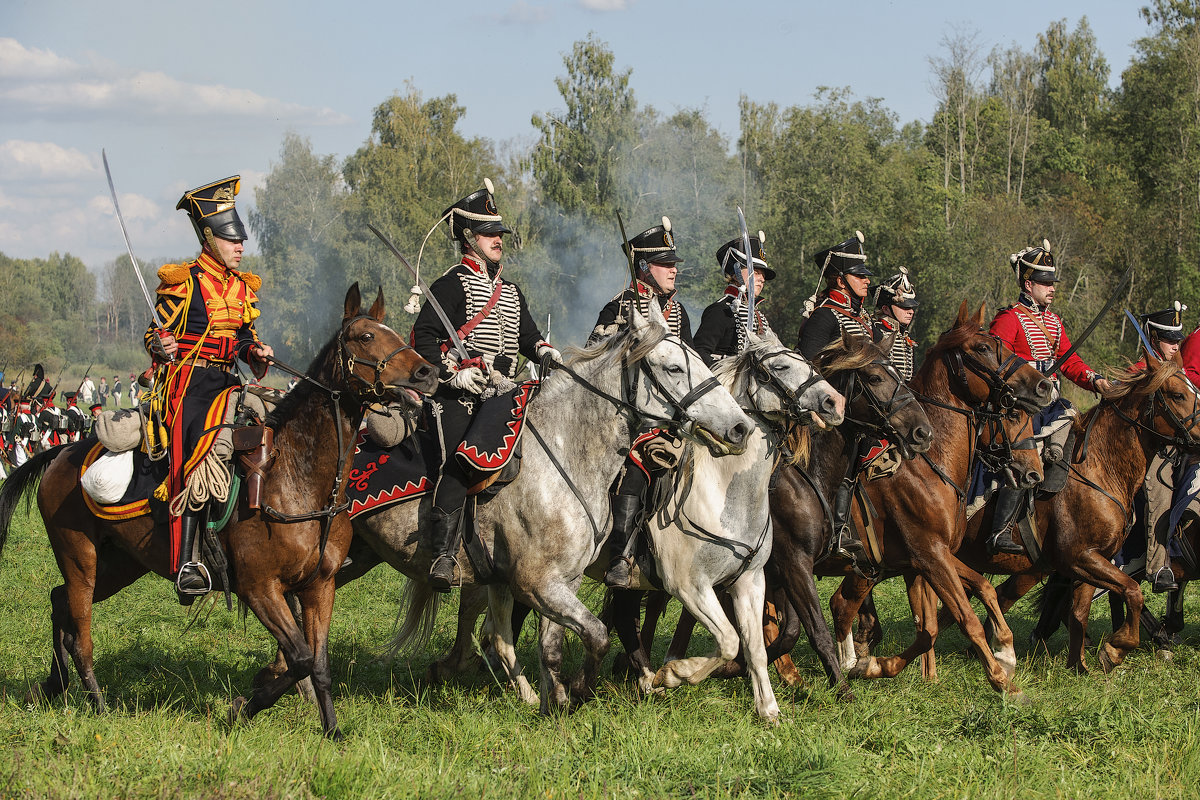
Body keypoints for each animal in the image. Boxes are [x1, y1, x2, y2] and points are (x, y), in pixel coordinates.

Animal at [0, 283, 439, 738]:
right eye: (366, 336)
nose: (428, 373)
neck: (298, 479)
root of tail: (61, 454)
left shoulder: (319, 587)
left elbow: (318, 664)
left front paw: (331, 730)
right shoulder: (259, 588)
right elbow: (299, 658)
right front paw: (244, 705)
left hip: (121, 563)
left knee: (59, 601)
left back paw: (55, 684)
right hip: (80, 559)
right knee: (80, 633)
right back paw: (98, 703)